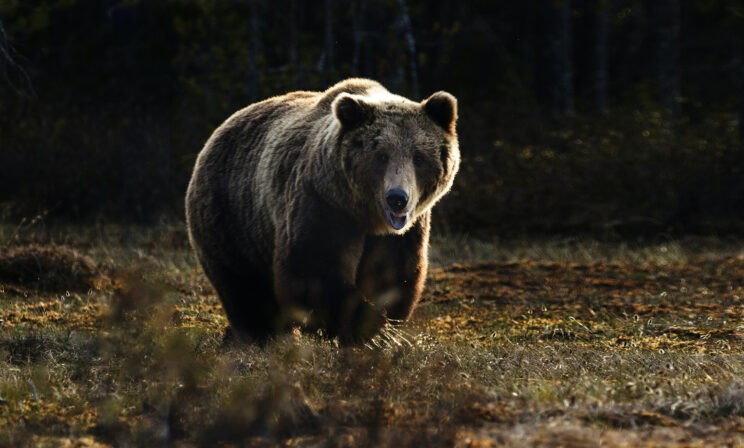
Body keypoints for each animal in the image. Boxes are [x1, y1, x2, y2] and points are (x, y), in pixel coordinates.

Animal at [185, 78, 460, 343]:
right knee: (244, 285)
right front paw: (372, 330)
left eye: (418, 157)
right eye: (381, 156)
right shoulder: (323, 204)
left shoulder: (403, 232)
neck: (366, 216)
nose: (397, 199)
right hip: (232, 215)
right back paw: (260, 334)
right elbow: (313, 268)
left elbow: (392, 274)